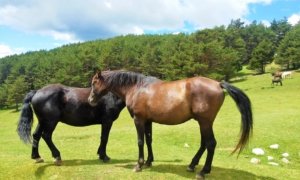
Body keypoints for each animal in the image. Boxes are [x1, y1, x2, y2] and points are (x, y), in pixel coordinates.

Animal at [87, 70, 253, 179]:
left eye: (94, 83)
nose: (90, 100)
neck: (137, 87)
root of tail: (218, 84)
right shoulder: (148, 121)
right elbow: (149, 140)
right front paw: (148, 162)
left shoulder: (139, 119)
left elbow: (140, 141)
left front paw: (139, 165)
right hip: (203, 123)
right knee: (204, 143)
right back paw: (192, 165)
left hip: (205, 122)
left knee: (211, 143)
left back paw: (203, 172)